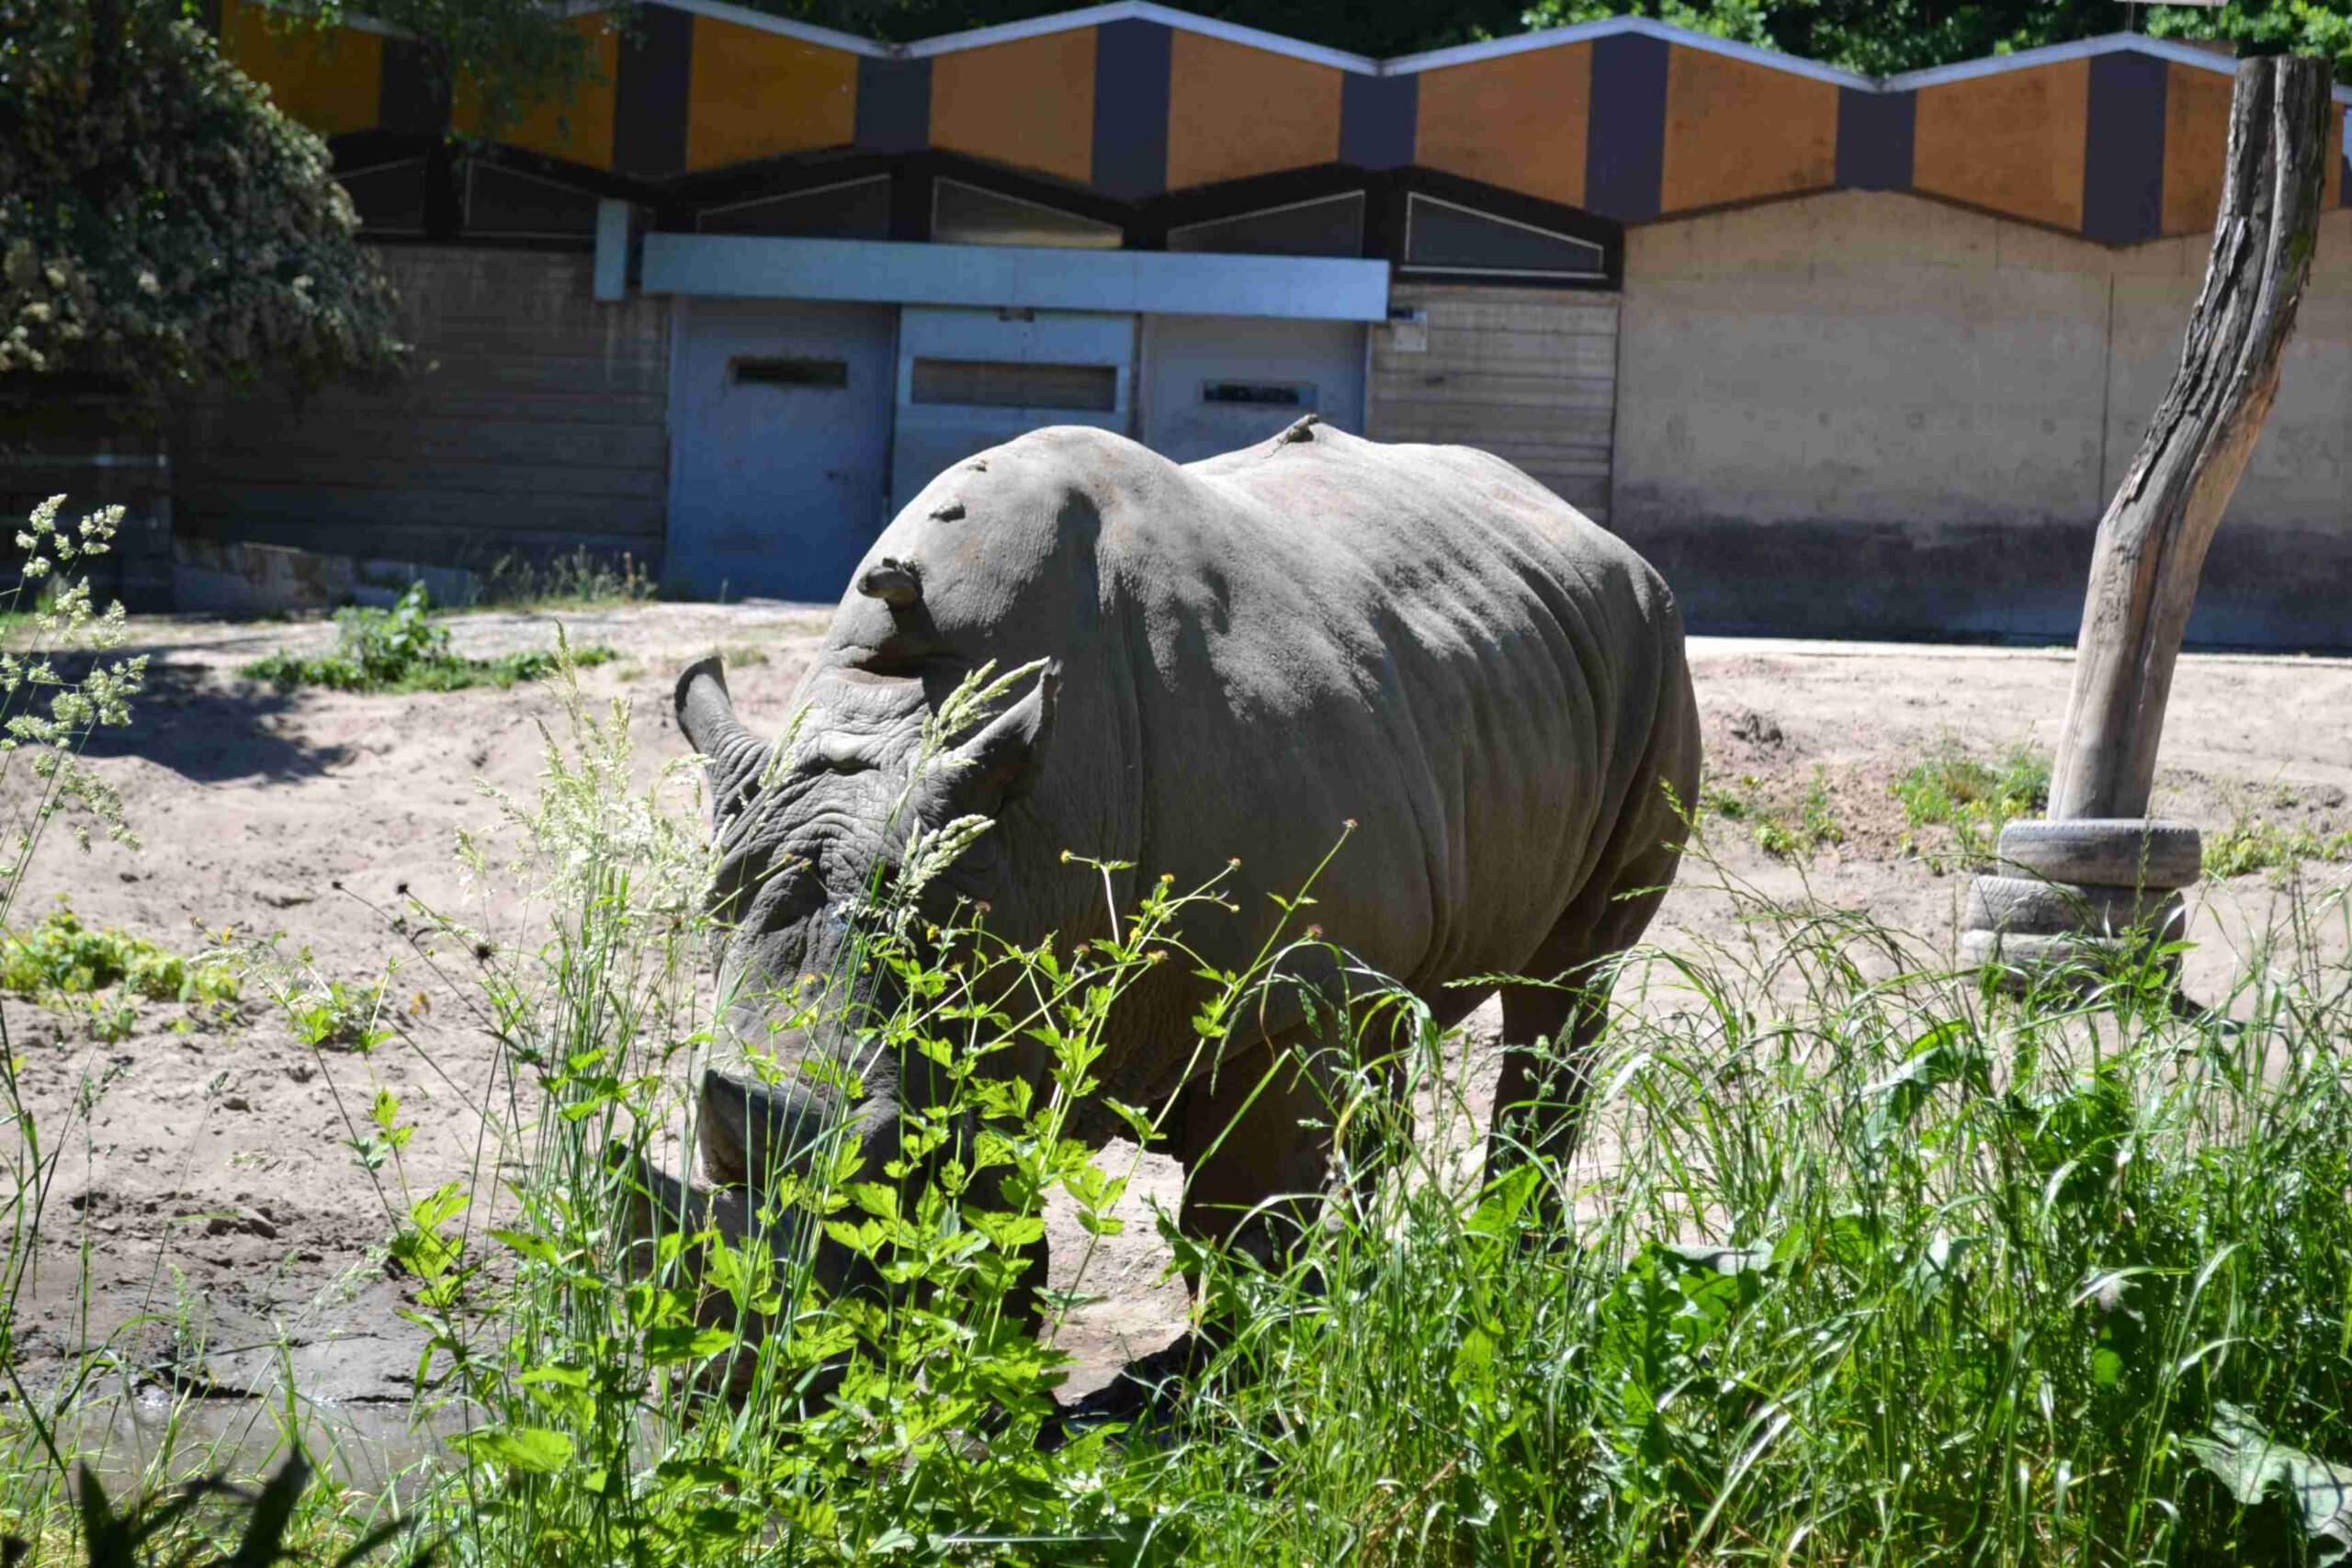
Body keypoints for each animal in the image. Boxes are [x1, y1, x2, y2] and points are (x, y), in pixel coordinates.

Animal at [655, 416, 1701, 1407]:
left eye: (879, 1159)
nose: (758, 1384)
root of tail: (1574, 517)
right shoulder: (985, 1002)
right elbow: (996, 1218)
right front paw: (1001, 1399)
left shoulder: (1269, 1002)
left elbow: (1237, 1228)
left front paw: (1222, 1408)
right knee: (1389, 1034)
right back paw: (1367, 1281)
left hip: (1651, 647)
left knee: (1568, 982)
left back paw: (1511, 1269)